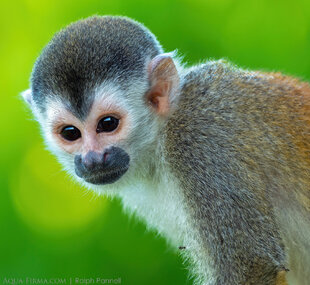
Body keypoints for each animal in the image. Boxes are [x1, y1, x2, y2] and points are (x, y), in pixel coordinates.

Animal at [20, 16, 308, 284]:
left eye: (108, 123)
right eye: (70, 132)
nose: (92, 159)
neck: (161, 137)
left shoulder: (201, 140)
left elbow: (253, 266)